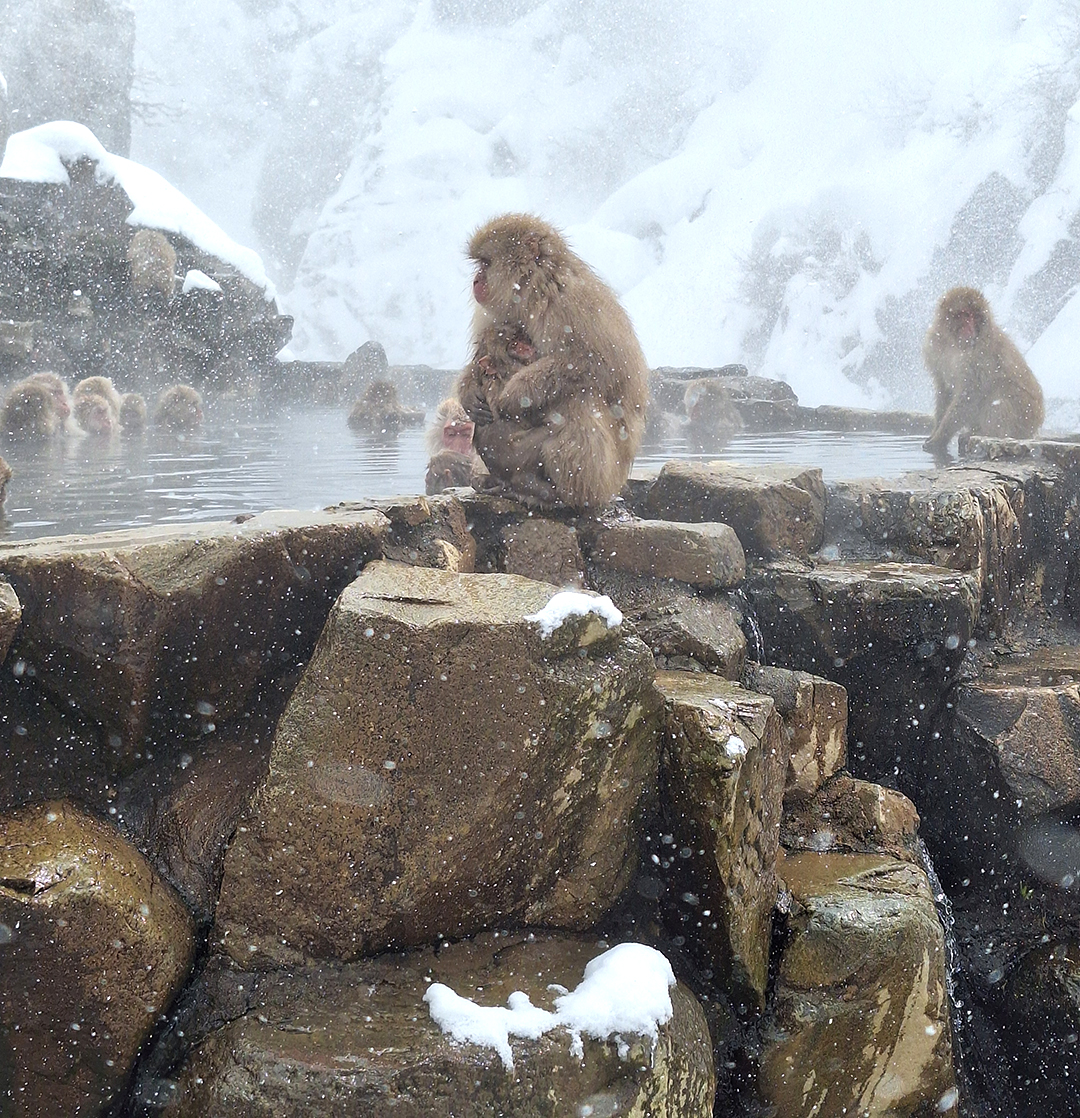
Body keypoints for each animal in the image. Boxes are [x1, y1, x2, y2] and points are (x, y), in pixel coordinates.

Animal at [456, 213, 648, 513]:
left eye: (486, 264)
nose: (476, 280)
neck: (533, 289)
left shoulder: (573, 302)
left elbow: (599, 363)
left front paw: (516, 393)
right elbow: (480, 358)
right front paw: (468, 391)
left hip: (608, 476)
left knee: (578, 397)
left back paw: (564, 496)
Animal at [922, 287, 1044, 456]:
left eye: (976, 316)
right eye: (965, 314)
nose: (970, 327)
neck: (956, 345)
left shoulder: (980, 356)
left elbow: (970, 394)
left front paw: (940, 438)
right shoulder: (934, 347)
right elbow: (944, 390)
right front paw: (935, 432)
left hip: (1024, 416)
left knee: (1000, 395)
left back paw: (984, 434)